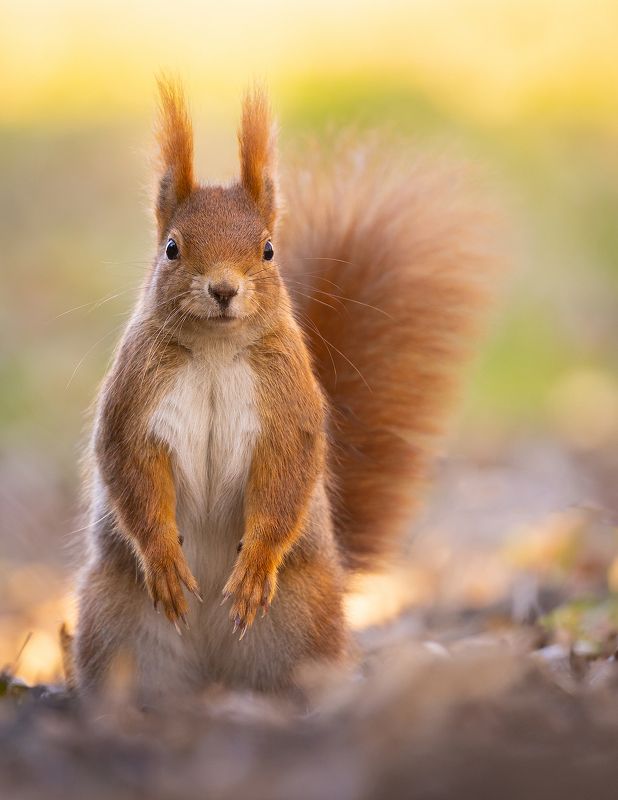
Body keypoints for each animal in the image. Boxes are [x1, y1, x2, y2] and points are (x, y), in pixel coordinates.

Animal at [71, 78, 494, 700]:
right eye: (172, 248)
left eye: (269, 249)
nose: (223, 289)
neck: (216, 349)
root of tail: (214, 669)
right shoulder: (133, 401)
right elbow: (133, 472)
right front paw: (165, 560)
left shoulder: (286, 407)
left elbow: (284, 481)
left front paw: (255, 567)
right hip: (113, 618)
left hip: (303, 614)